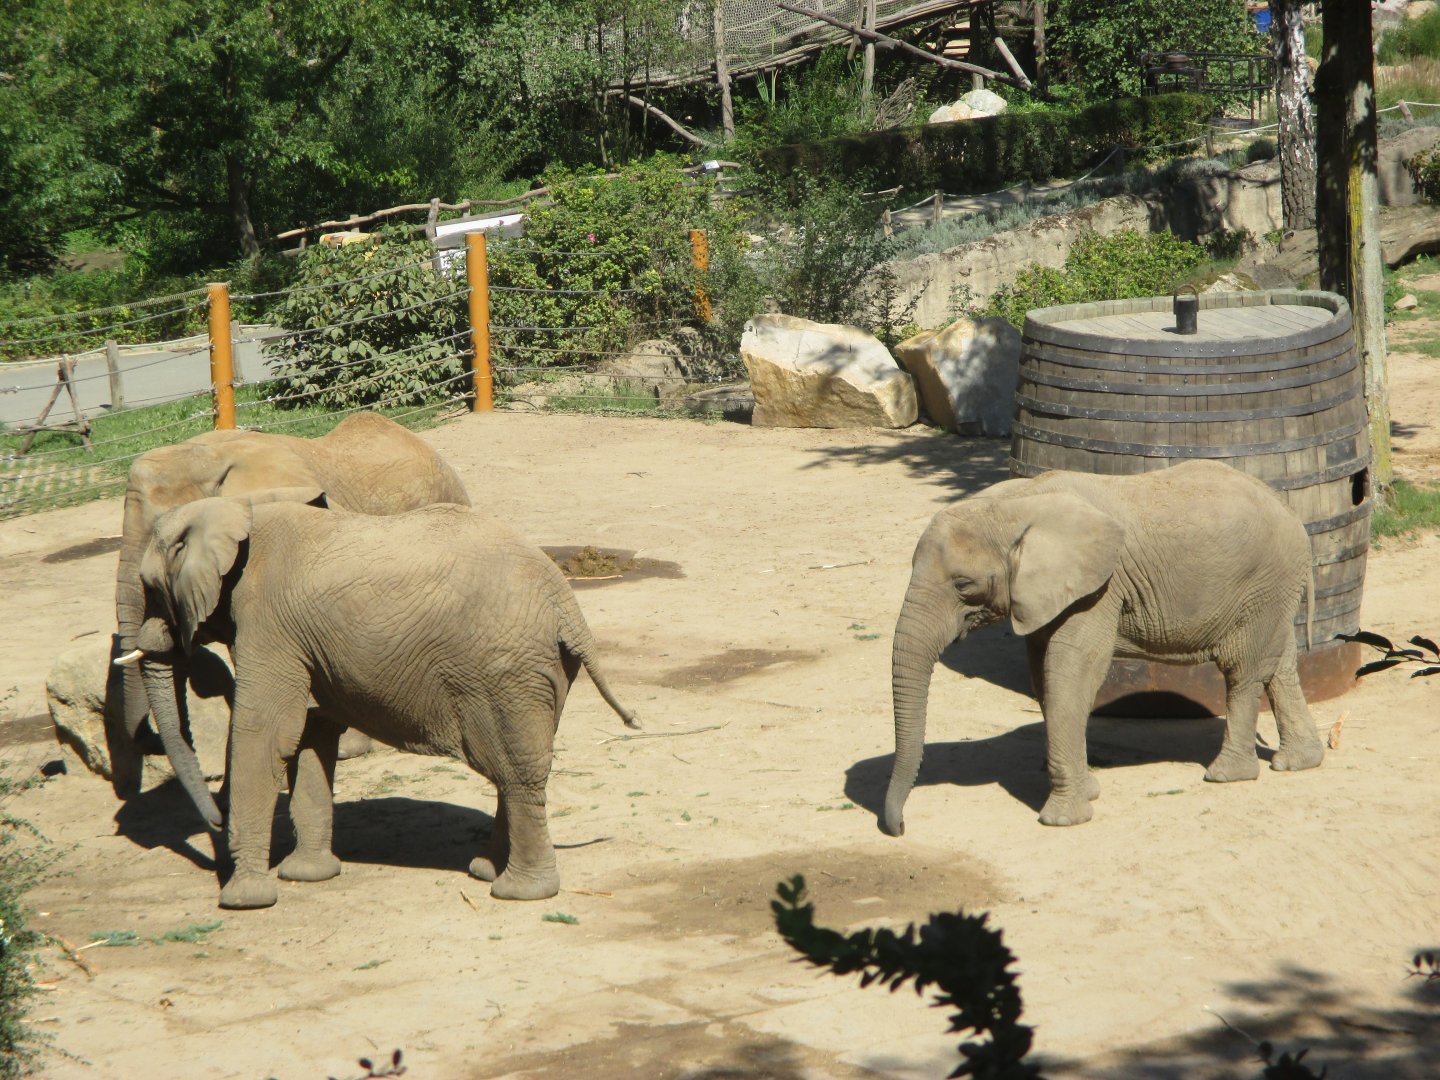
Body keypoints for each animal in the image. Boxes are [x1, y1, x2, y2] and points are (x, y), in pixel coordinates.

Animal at [129, 491, 639, 909]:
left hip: (506, 668)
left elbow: (265, 733)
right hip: (538, 671)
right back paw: (486, 871)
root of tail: (564, 603)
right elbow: (312, 734)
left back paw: (518, 892)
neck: (233, 509)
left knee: (515, 771)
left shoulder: (266, 621)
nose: (215, 820)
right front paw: (307, 876)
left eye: (150, 587)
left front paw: (244, 900)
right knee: (511, 767)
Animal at [884, 460, 1324, 836]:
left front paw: (1063, 820)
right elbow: (1043, 676)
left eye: (963, 585)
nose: (900, 827)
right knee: (1280, 664)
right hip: (1273, 589)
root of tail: (1292, 516)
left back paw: (1226, 775)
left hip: (1263, 581)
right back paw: (1297, 763)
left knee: (1242, 670)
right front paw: (1090, 790)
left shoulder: (1099, 588)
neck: (1016, 503)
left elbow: (1072, 673)